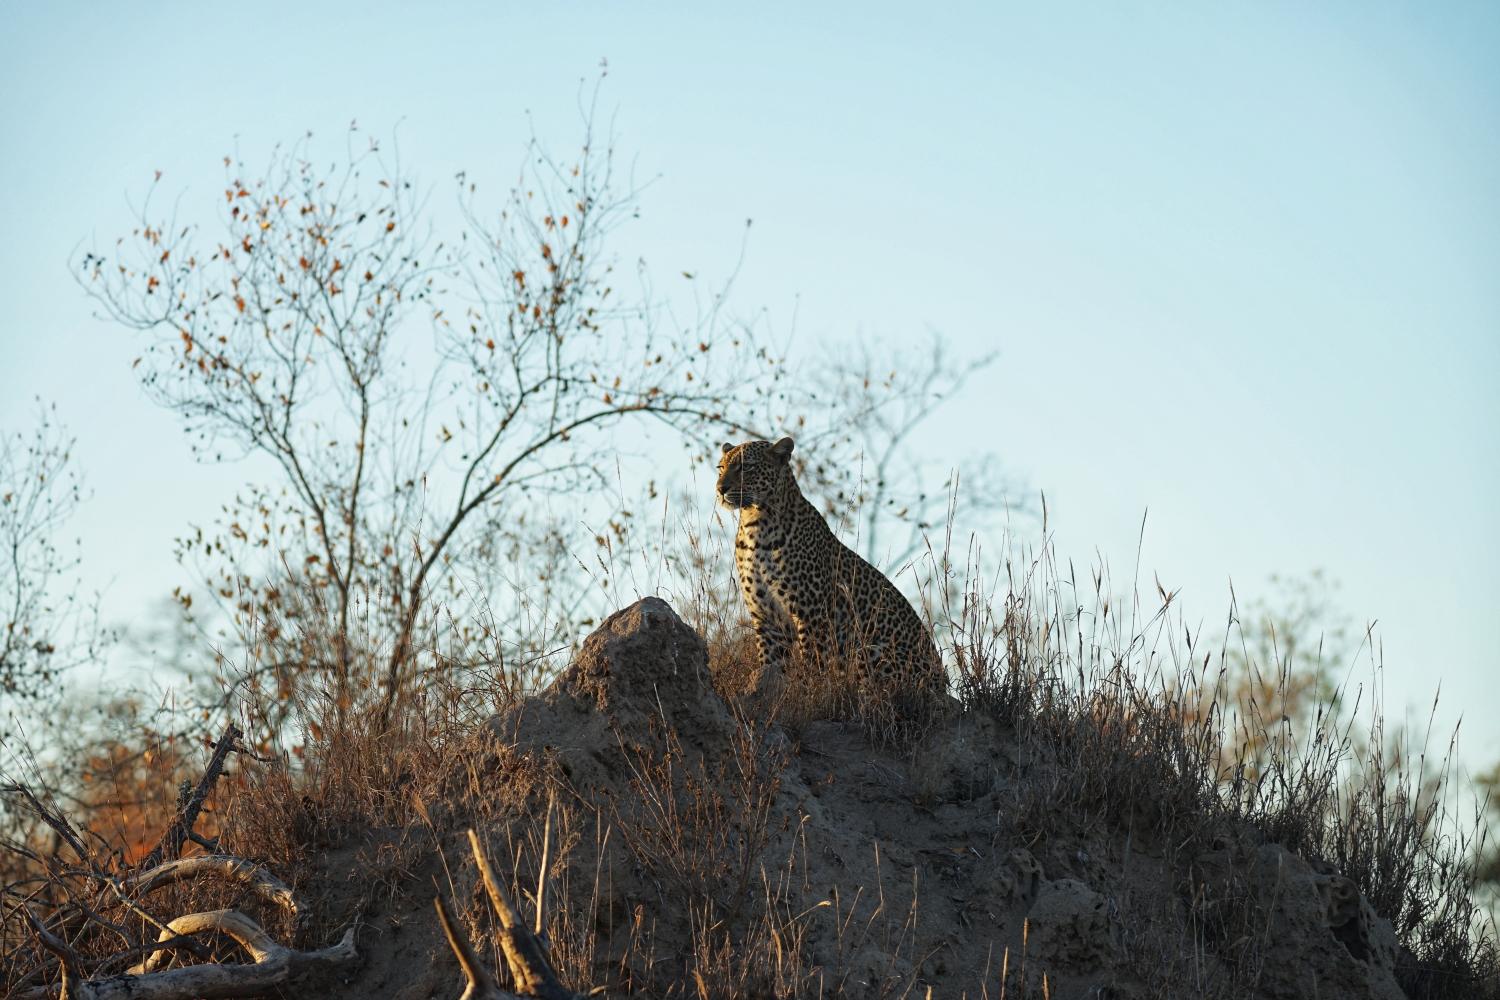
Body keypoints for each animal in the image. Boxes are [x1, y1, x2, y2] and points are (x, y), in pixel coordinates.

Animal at [717, 434, 948, 701]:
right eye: (721, 468)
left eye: (746, 467)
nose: (720, 489)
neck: (754, 525)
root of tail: (944, 685)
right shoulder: (767, 618)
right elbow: (771, 663)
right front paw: (768, 688)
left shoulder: (811, 614)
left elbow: (812, 662)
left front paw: (807, 693)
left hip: (870, 648)